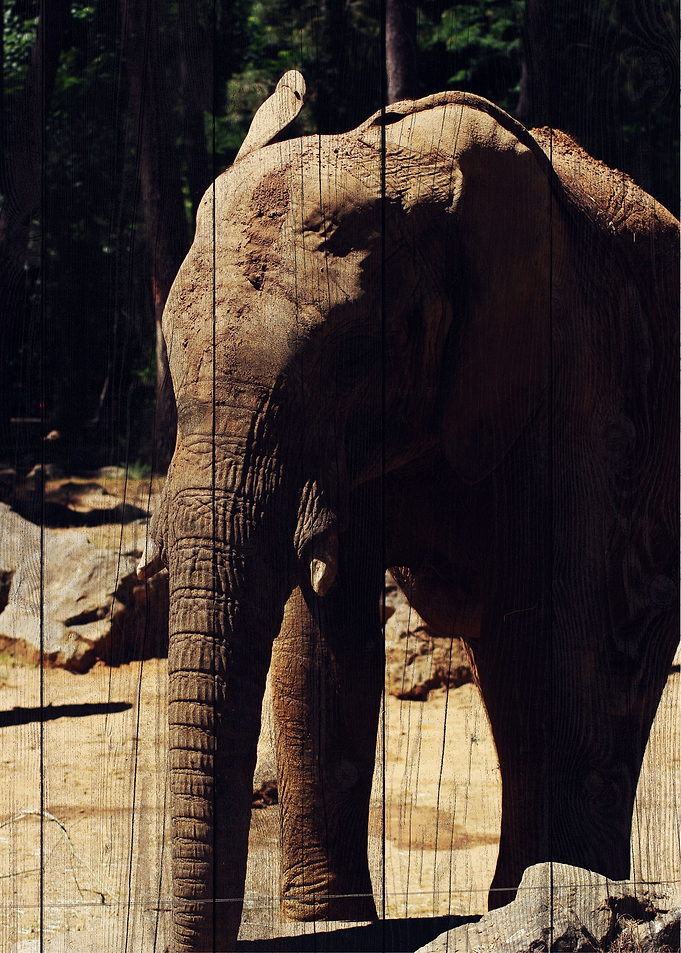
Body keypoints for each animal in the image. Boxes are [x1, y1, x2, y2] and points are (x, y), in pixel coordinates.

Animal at [138, 85, 679, 952]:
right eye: (171, 354)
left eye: (349, 358)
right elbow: (321, 635)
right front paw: (327, 918)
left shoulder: (576, 371)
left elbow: (563, 628)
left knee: (606, 652)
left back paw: (553, 895)